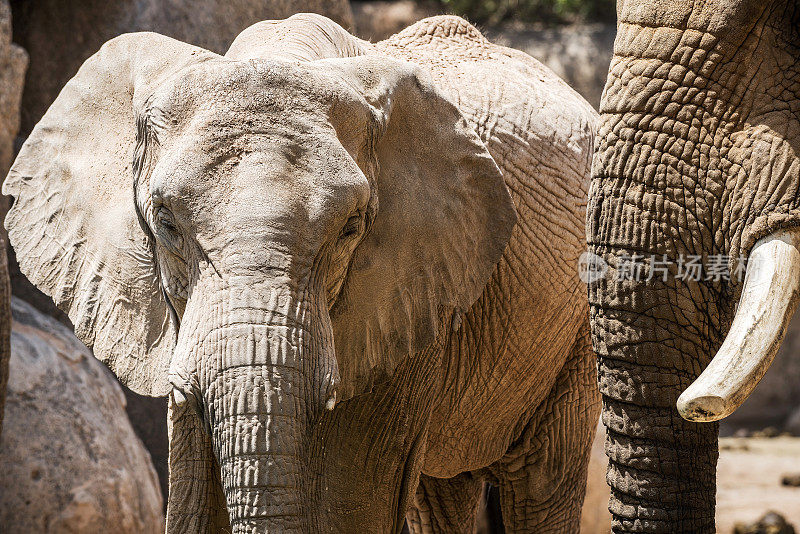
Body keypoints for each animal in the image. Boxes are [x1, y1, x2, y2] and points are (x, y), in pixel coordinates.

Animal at [3, 14, 596, 532]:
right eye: (166, 222)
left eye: (351, 228)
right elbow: (195, 500)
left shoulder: (408, 287)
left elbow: (353, 505)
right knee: (443, 495)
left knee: (542, 477)